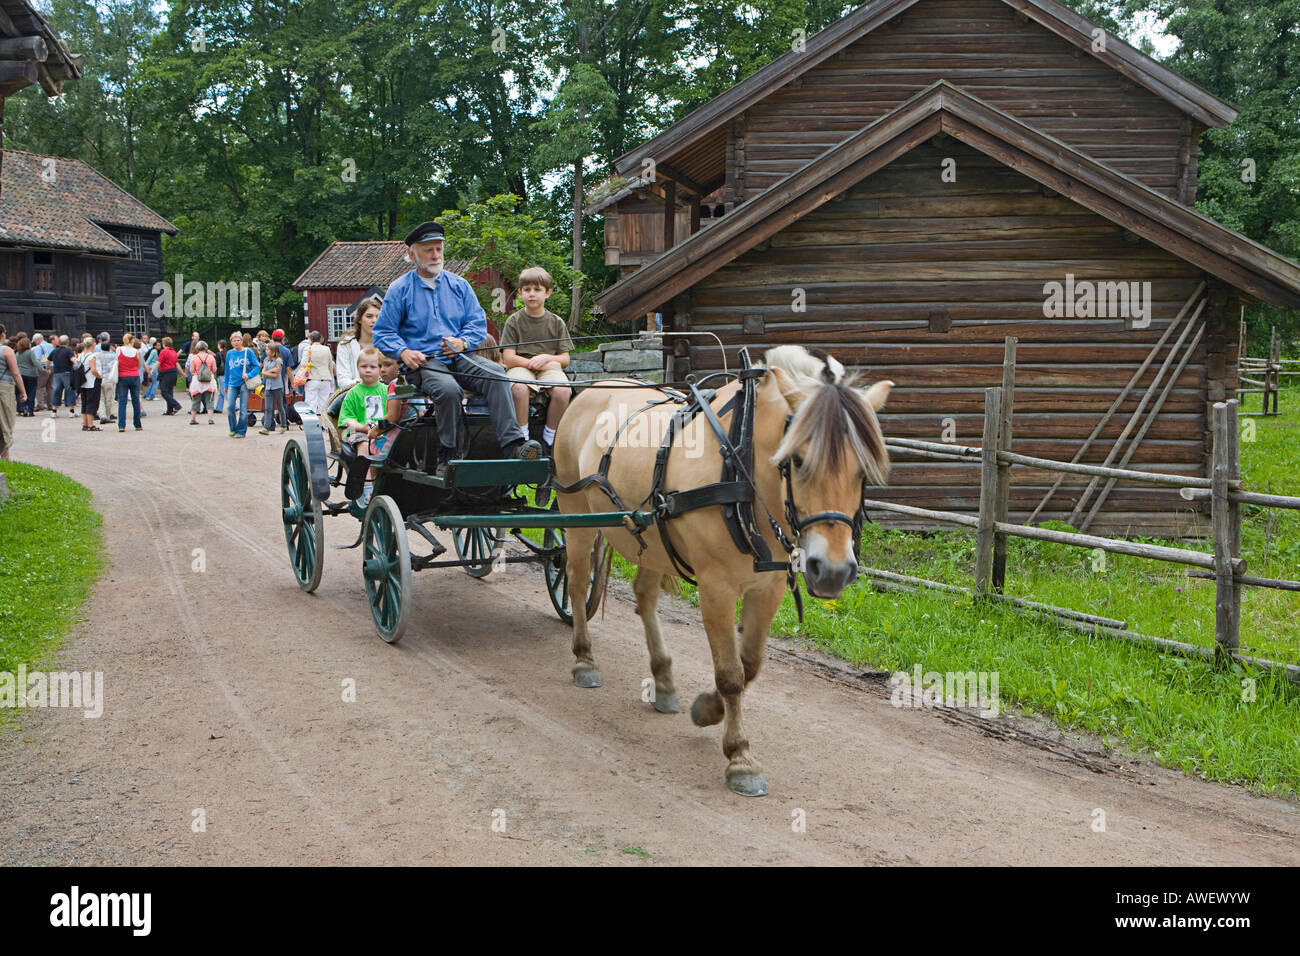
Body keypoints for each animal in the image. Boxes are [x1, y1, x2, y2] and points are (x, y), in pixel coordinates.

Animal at [553, 348, 889, 796]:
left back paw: (663, 681)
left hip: (652, 540)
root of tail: (592, 390)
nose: (832, 571)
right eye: (797, 460)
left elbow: (750, 666)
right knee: (575, 582)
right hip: (575, 518)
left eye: (863, 471)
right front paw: (740, 757)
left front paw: (708, 708)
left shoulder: (768, 588)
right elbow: (730, 673)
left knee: (645, 598)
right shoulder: (716, 588)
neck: (742, 472)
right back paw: (584, 660)